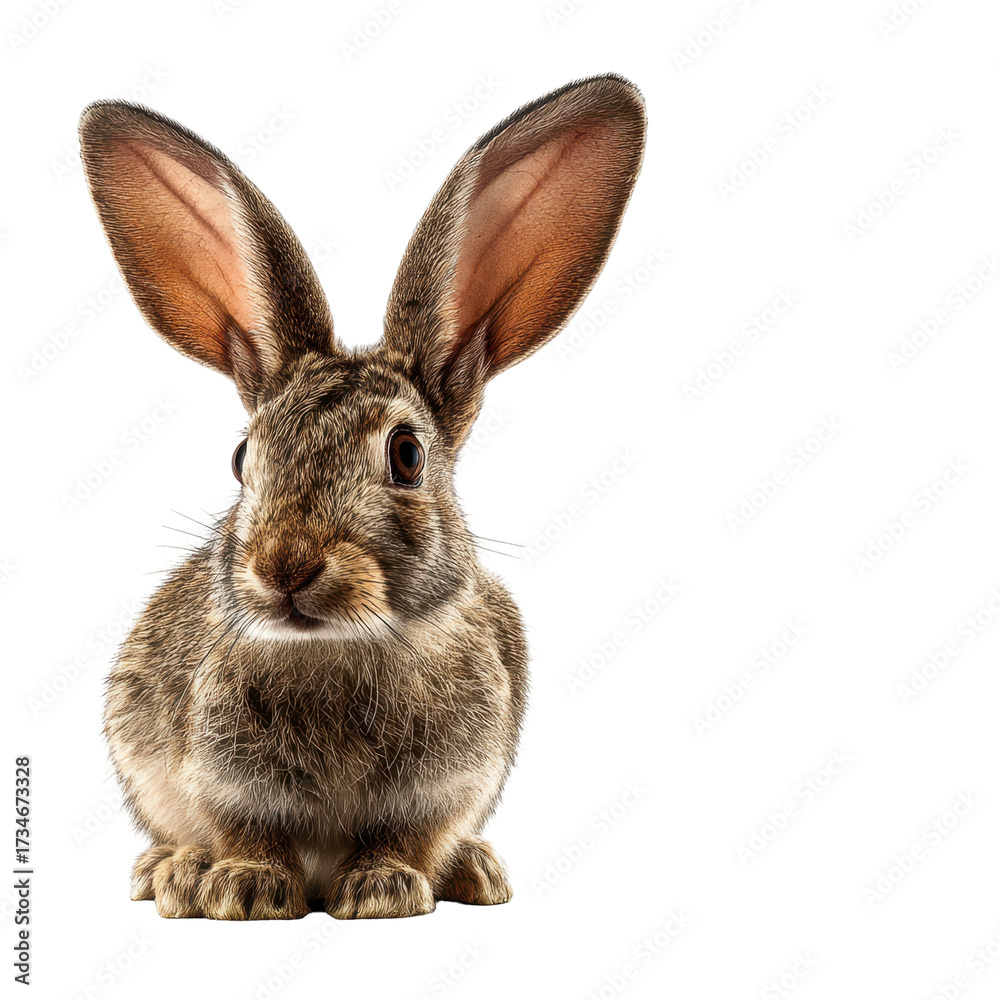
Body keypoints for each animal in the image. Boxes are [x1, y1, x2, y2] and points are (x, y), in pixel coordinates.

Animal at [79, 73, 646, 920]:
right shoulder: (219, 776)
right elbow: (248, 830)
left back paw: (475, 870)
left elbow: (405, 836)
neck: (342, 644)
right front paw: (244, 888)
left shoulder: (446, 787)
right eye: (243, 459)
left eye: (407, 456)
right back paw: (173, 873)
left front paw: (385, 890)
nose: (284, 566)